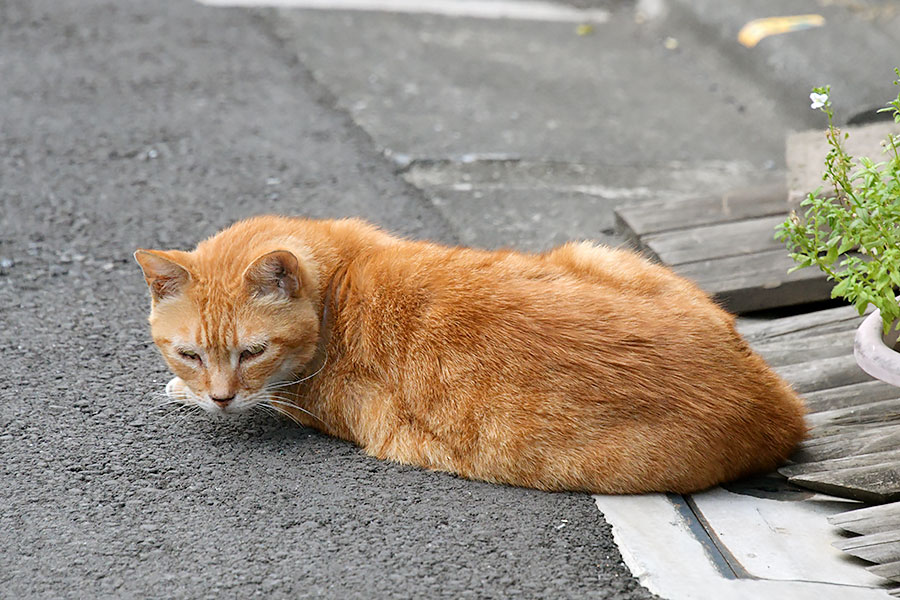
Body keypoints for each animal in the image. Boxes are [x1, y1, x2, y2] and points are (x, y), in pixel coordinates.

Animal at [135, 216, 808, 492]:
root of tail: (779, 407)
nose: (220, 398)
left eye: (252, 351)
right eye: (190, 353)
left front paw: (181, 394)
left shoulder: (305, 403)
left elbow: (270, 399)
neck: (340, 280)